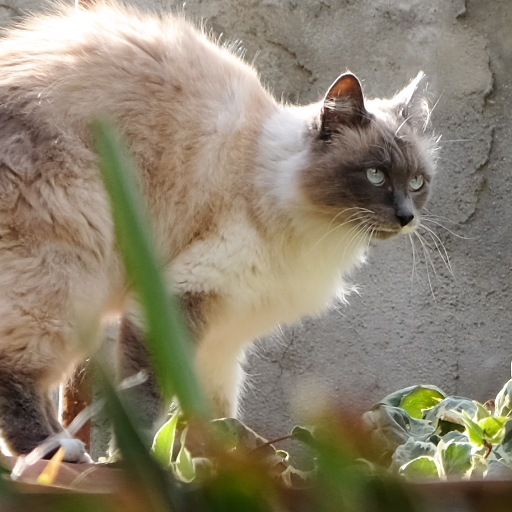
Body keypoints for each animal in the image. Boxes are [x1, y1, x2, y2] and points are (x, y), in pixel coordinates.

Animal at [0, 2, 436, 462]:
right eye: (375, 174)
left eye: (417, 182)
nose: (406, 217)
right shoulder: (182, 292)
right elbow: (148, 398)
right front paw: (137, 461)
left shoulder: (223, 335)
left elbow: (212, 412)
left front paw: (226, 462)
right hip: (69, 276)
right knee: (17, 371)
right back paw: (53, 452)